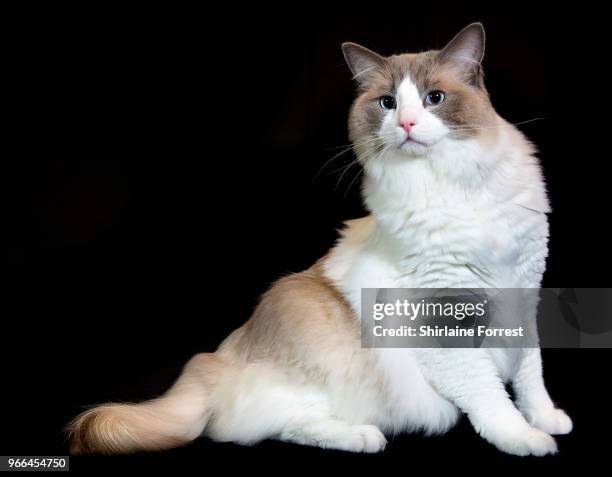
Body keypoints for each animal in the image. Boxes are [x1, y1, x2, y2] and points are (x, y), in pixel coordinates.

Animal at [69, 24, 572, 456]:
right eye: (388, 103)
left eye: (434, 99)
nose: (407, 124)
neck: (451, 185)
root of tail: (214, 361)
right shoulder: (444, 319)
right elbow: (490, 396)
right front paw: (524, 438)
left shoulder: (524, 292)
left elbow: (530, 375)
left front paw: (545, 418)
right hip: (309, 328)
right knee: (277, 426)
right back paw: (362, 436)